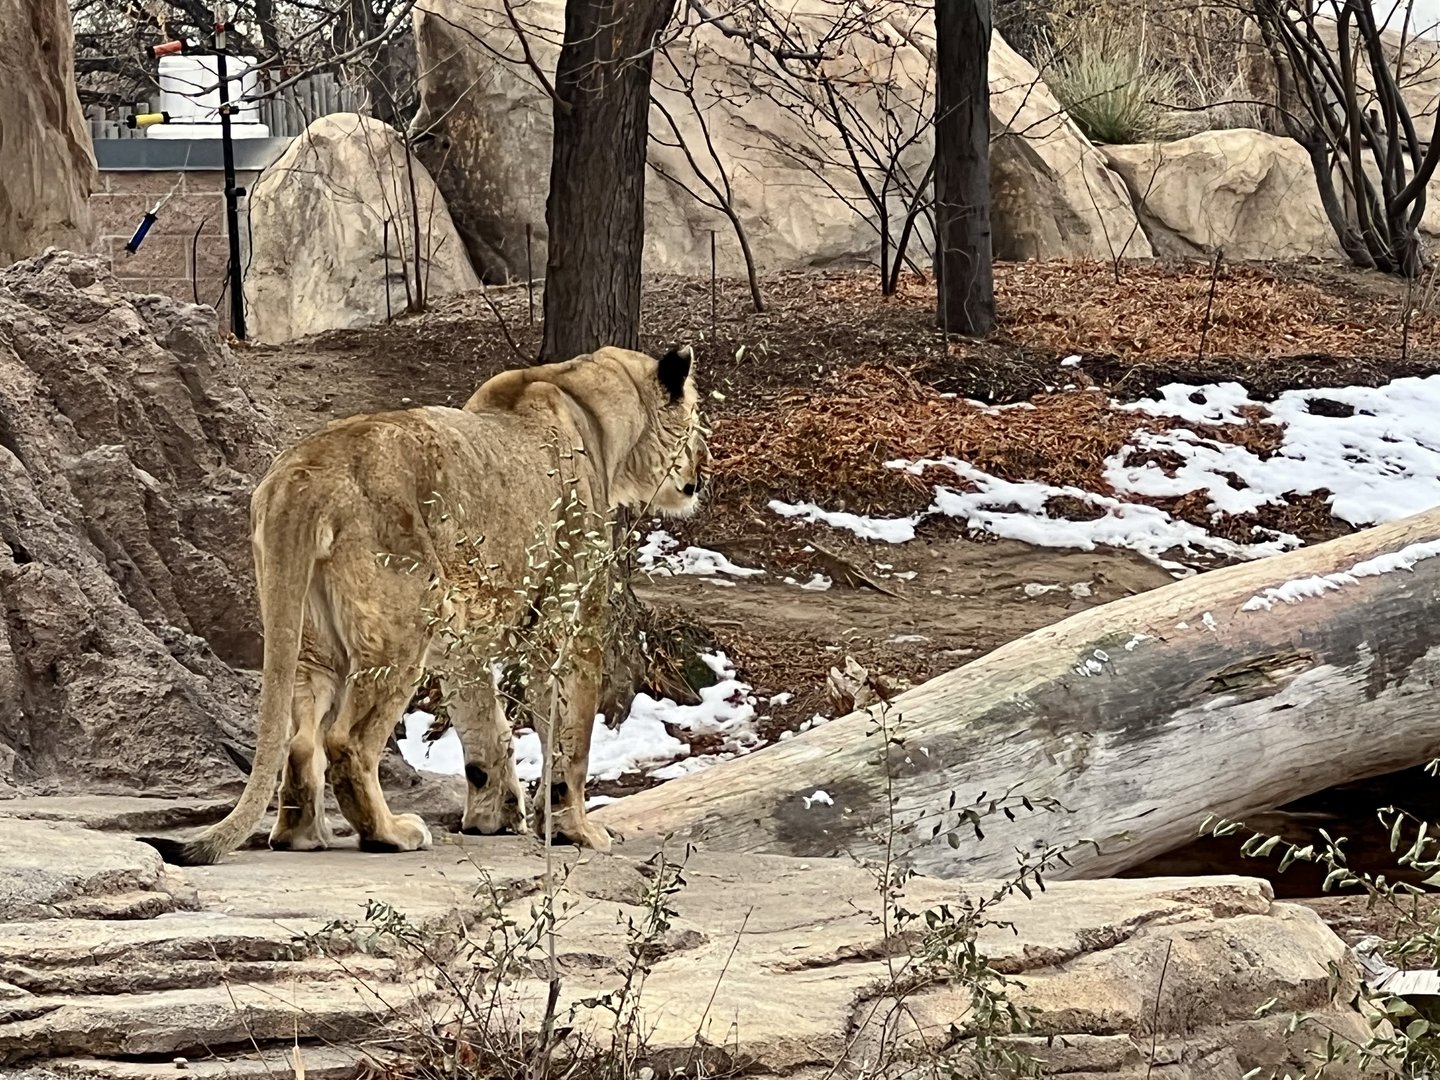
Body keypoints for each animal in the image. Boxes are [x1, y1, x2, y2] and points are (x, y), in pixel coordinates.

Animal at [139, 345, 708, 866]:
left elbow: (484, 728)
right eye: (698, 422)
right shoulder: (565, 619)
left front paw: (493, 818)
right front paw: (577, 833)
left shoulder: (462, 642)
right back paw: (391, 834)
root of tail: (302, 475)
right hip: (405, 625)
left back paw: (304, 836)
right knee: (347, 742)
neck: (591, 404)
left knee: (302, 741)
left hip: (312, 636)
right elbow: (570, 739)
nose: (703, 468)